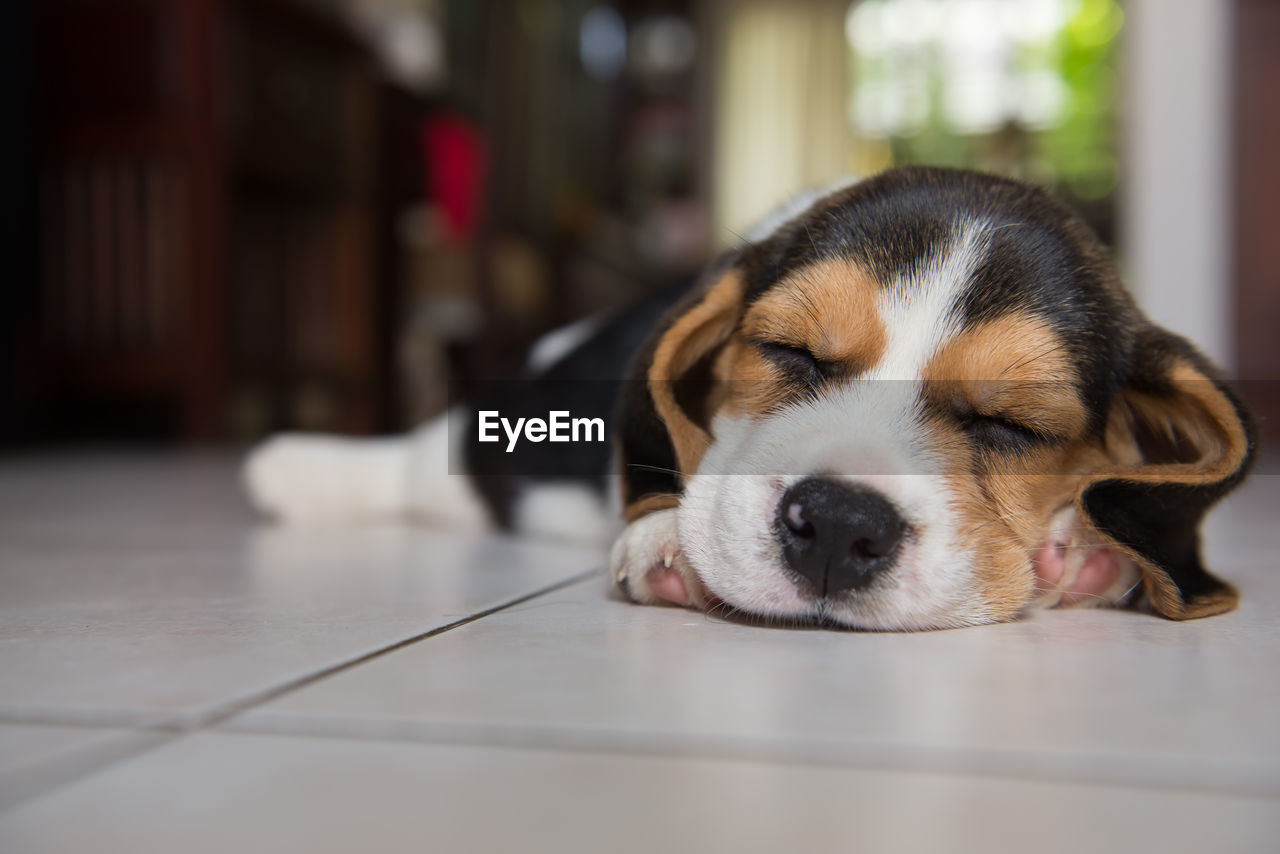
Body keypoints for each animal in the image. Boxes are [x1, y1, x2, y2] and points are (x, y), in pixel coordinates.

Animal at [244, 169, 1254, 635]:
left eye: (1011, 425)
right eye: (789, 351)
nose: (841, 524)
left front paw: (1086, 554)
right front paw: (664, 540)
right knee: (423, 463)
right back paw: (292, 468)